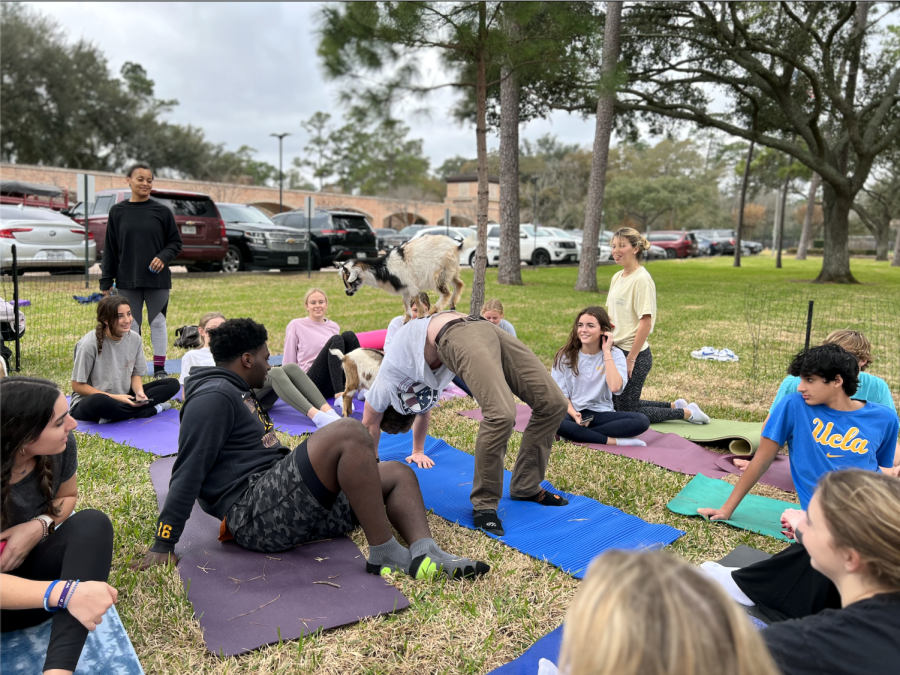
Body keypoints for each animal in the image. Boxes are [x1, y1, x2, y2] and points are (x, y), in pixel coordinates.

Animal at [336, 236, 464, 324]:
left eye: (348, 279)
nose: (347, 292)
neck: (385, 268)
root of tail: (456, 247)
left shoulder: (412, 286)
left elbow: (416, 300)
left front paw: (421, 316)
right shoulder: (405, 289)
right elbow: (406, 302)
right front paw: (406, 319)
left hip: (439, 274)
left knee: (446, 293)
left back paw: (434, 310)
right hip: (451, 272)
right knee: (459, 284)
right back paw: (452, 304)